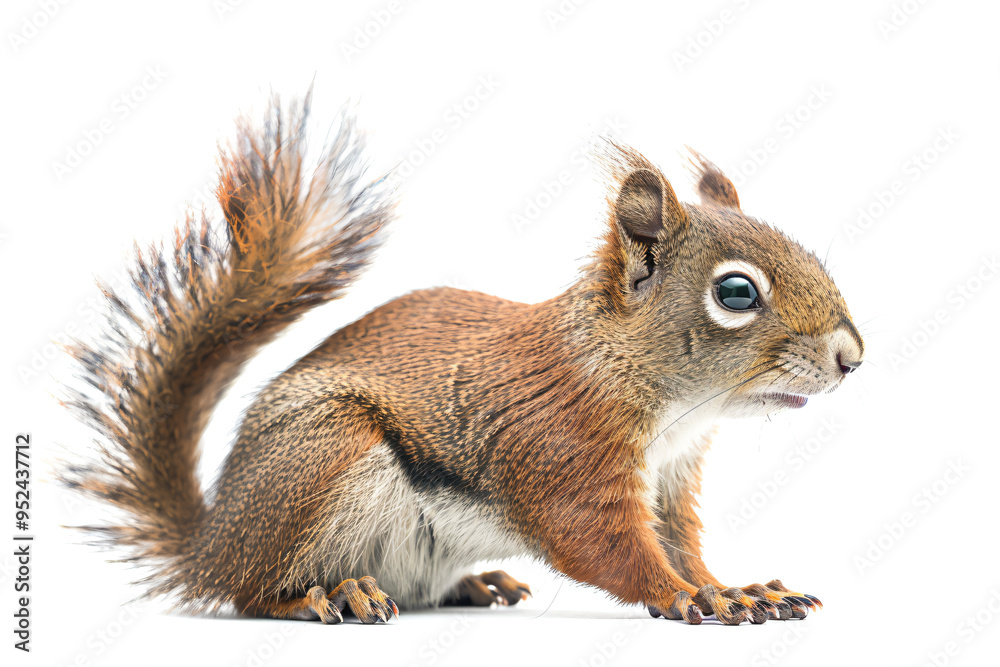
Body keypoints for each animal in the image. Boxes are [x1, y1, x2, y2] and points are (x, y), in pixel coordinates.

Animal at [63, 92, 863, 626]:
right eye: (736, 292)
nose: (852, 356)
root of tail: (212, 541)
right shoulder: (563, 448)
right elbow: (608, 546)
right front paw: (690, 596)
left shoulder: (670, 478)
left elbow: (680, 542)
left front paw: (733, 585)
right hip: (321, 456)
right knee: (249, 591)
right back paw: (325, 594)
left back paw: (474, 586)